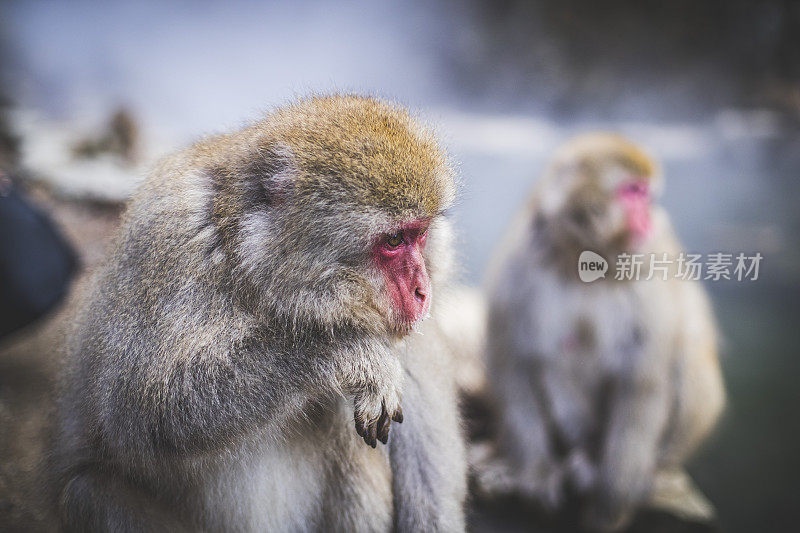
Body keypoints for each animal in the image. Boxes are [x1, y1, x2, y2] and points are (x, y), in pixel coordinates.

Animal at [54, 95, 468, 532]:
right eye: (392, 240)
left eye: (420, 234)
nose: (423, 291)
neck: (254, 271)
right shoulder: (170, 241)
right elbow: (145, 412)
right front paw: (351, 353)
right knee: (88, 489)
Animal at [478, 132, 728, 528]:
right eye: (632, 192)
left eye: (647, 194)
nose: (647, 216)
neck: (585, 253)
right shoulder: (521, 265)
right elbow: (514, 362)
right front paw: (536, 471)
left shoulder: (650, 266)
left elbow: (642, 379)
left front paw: (614, 498)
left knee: (688, 361)